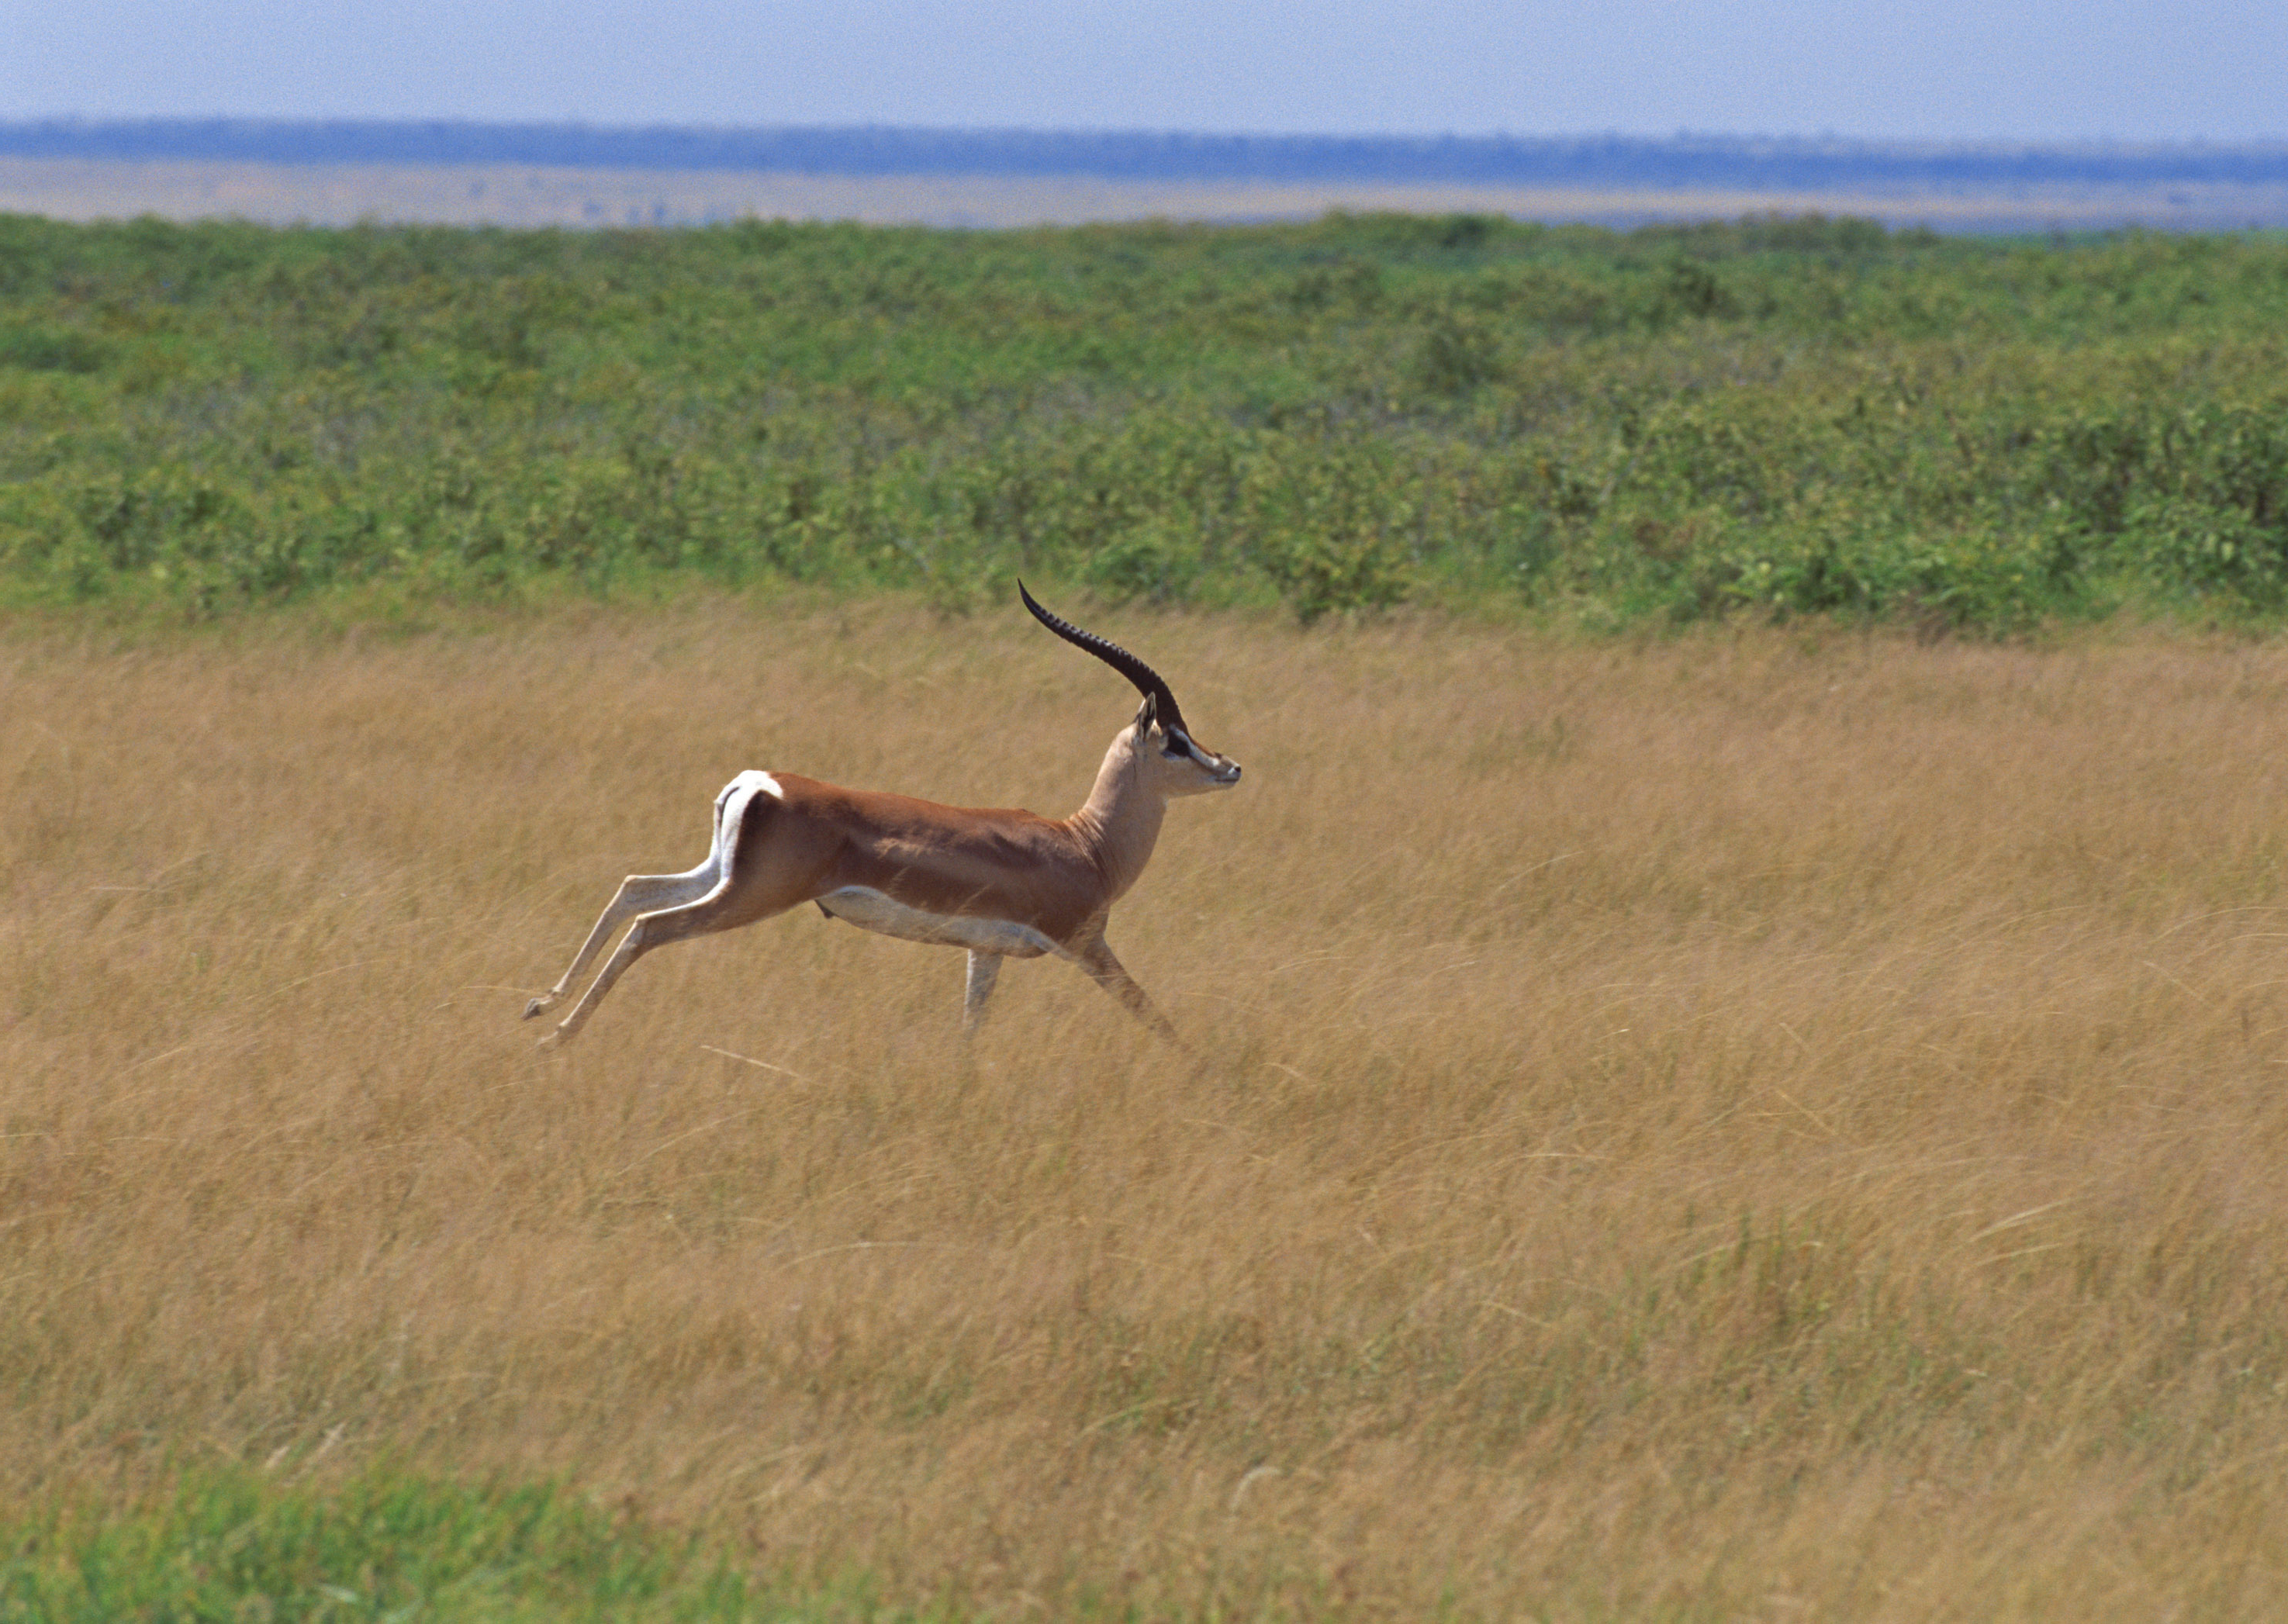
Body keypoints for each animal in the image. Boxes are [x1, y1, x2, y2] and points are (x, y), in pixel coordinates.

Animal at [524, 589, 1244, 1047]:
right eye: (1175, 740)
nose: (1230, 766)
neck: (1085, 844)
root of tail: (756, 785)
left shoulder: (985, 952)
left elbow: (968, 1036)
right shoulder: (1086, 944)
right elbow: (1155, 1017)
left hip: (720, 874)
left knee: (633, 889)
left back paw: (540, 1004)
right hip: (751, 896)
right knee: (650, 926)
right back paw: (556, 1037)